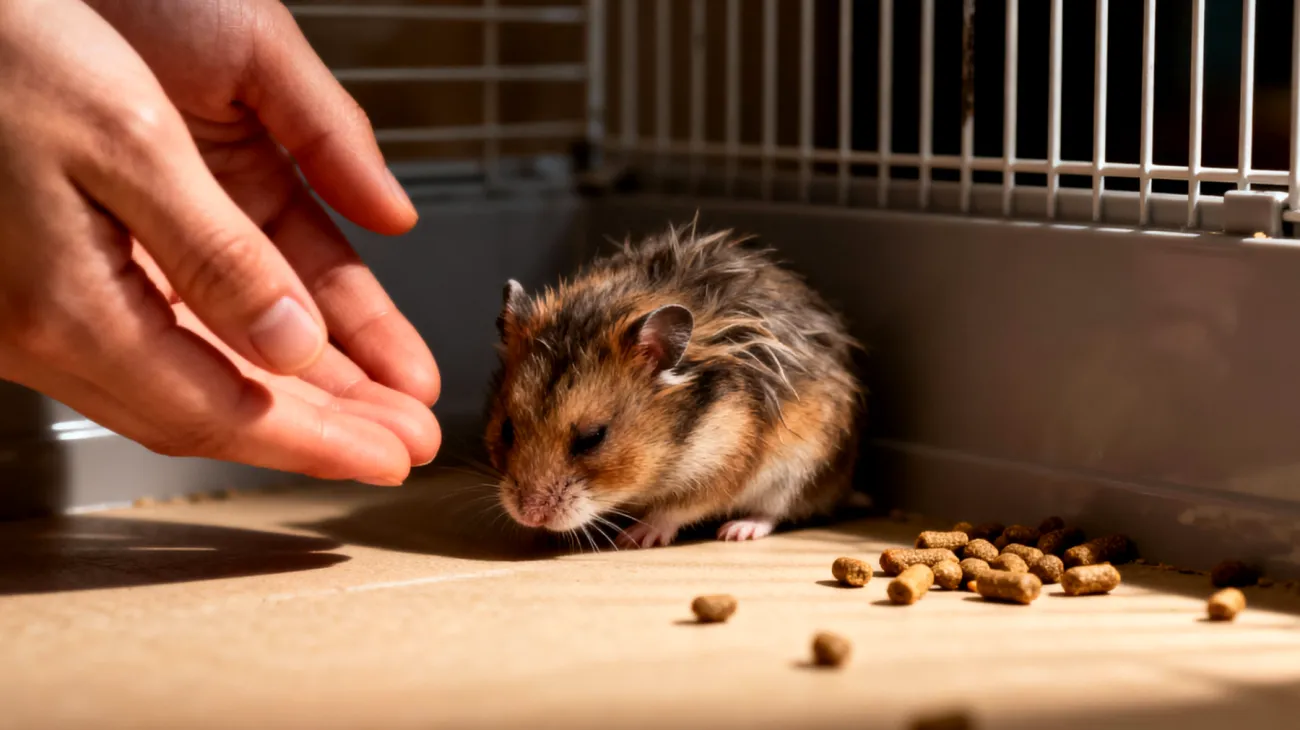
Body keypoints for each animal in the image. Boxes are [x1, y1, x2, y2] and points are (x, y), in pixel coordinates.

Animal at [483, 222, 864, 548]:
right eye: (506, 429)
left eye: (592, 438)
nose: (530, 515)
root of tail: (843, 487)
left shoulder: (725, 462)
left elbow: (677, 508)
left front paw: (635, 538)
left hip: (798, 469)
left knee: (775, 511)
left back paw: (736, 531)